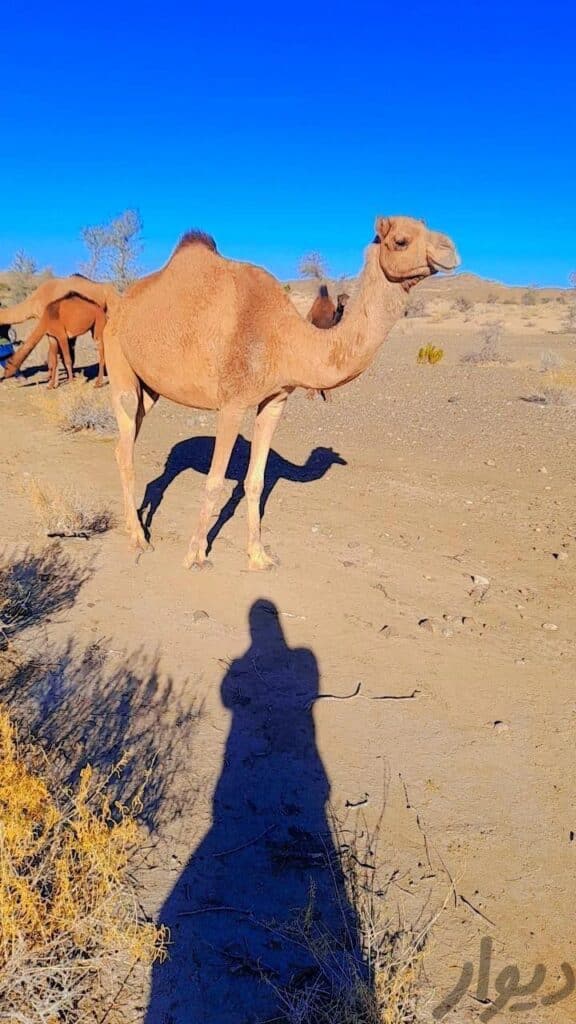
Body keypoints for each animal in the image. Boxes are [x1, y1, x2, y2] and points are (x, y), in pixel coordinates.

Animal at [105, 215, 457, 569]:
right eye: (401, 241)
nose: (450, 249)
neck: (286, 337)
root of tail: (119, 305)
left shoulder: (276, 399)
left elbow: (256, 482)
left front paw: (259, 556)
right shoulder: (232, 403)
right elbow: (215, 481)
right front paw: (195, 555)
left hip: (150, 389)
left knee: (128, 448)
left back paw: (133, 527)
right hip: (119, 362)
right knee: (126, 447)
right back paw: (139, 538)